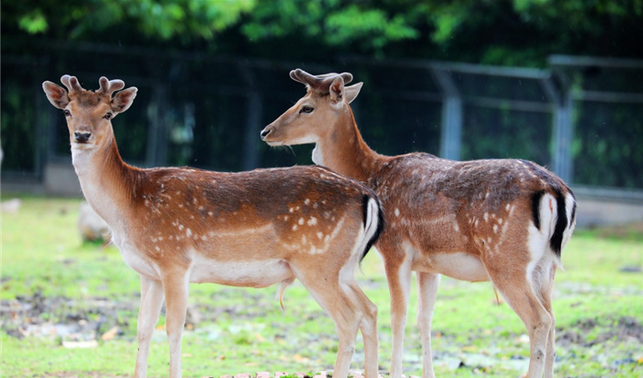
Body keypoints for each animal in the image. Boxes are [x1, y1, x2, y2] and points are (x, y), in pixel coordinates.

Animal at [42, 75, 384, 378]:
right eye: (68, 111)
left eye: (107, 114)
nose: (82, 135)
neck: (129, 205)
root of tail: (367, 196)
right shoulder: (147, 273)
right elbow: (143, 330)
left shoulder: (174, 260)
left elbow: (174, 329)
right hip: (344, 267)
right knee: (370, 310)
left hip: (316, 262)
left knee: (349, 319)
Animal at [260, 68, 580, 378]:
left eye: (307, 107)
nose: (266, 131)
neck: (372, 173)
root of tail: (556, 191)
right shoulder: (428, 265)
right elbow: (424, 318)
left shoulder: (395, 249)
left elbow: (397, 315)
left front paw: (395, 372)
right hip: (546, 266)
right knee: (553, 319)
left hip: (506, 258)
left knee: (540, 319)